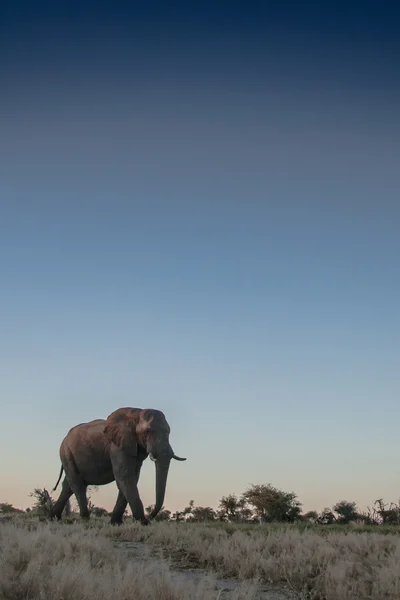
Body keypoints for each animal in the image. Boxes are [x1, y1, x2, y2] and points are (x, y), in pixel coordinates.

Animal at [49, 408, 186, 524]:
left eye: (169, 432)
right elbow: (124, 476)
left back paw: (54, 519)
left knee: (68, 486)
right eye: (147, 431)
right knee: (77, 484)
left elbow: (132, 478)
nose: (150, 517)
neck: (137, 413)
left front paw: (116, 523)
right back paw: (85, 521)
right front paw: (143, 523)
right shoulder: (117, 446)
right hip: (66, 452)